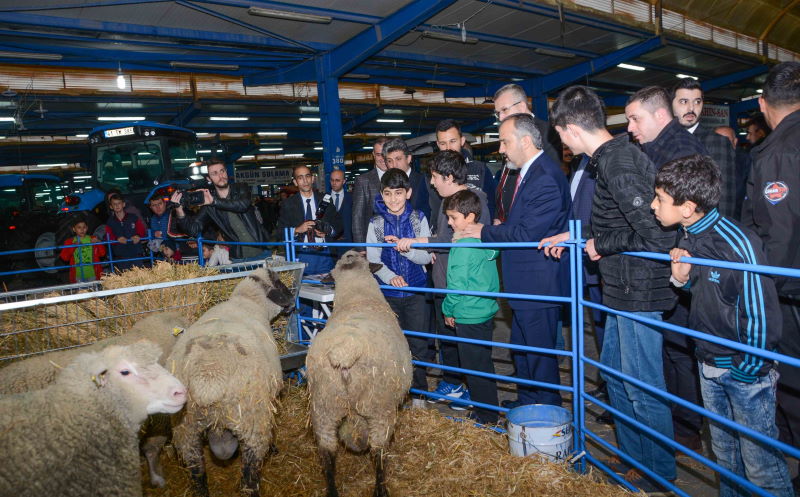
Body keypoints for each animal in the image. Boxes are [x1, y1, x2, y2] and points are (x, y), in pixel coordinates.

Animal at [167, 268, 296, 496]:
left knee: (196, 470)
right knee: (250, 473)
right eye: (279, 283)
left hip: (186, 428)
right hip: (251, 420)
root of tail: (209, 377)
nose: (292, 302)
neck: (247, 302)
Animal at [308, 252, 416, 496]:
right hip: (379, 407)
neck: (357, 298)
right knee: (378, 452)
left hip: (324, 405)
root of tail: (344, 353)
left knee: (327, 452)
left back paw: (332, 490)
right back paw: (381, 489)